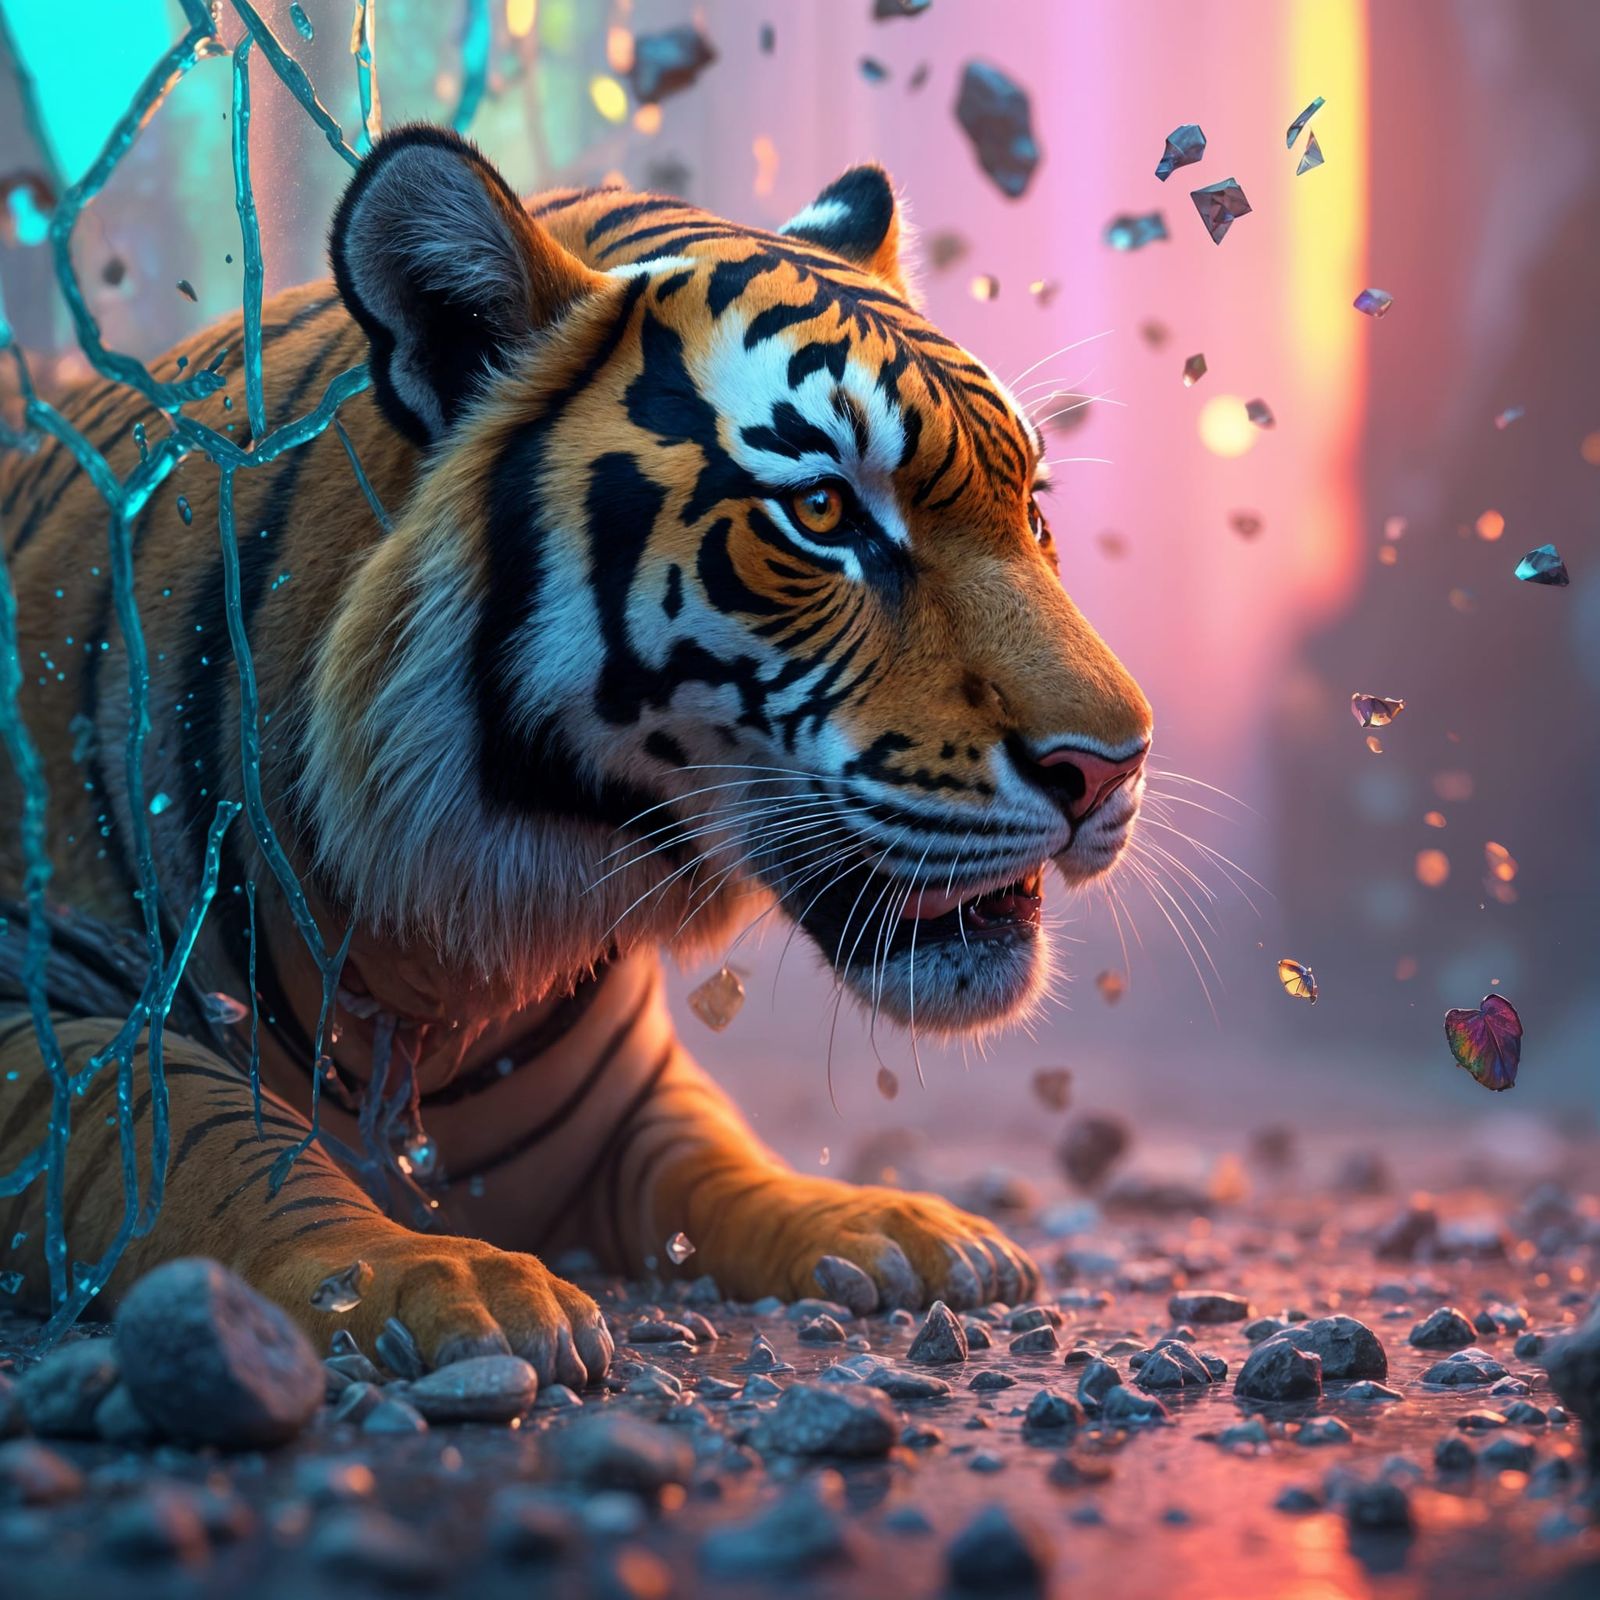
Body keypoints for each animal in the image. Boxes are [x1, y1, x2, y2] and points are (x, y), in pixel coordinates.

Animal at [0, 126, 1151, 1388]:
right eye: (823, 511)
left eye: (1031, 508)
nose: (1115, 765)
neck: (439, 964)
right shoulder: (45, 1010)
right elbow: (217, 1141)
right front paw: (437, 1277)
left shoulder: (626, 1094)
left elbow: (719, 1155)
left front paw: (889, 1222)